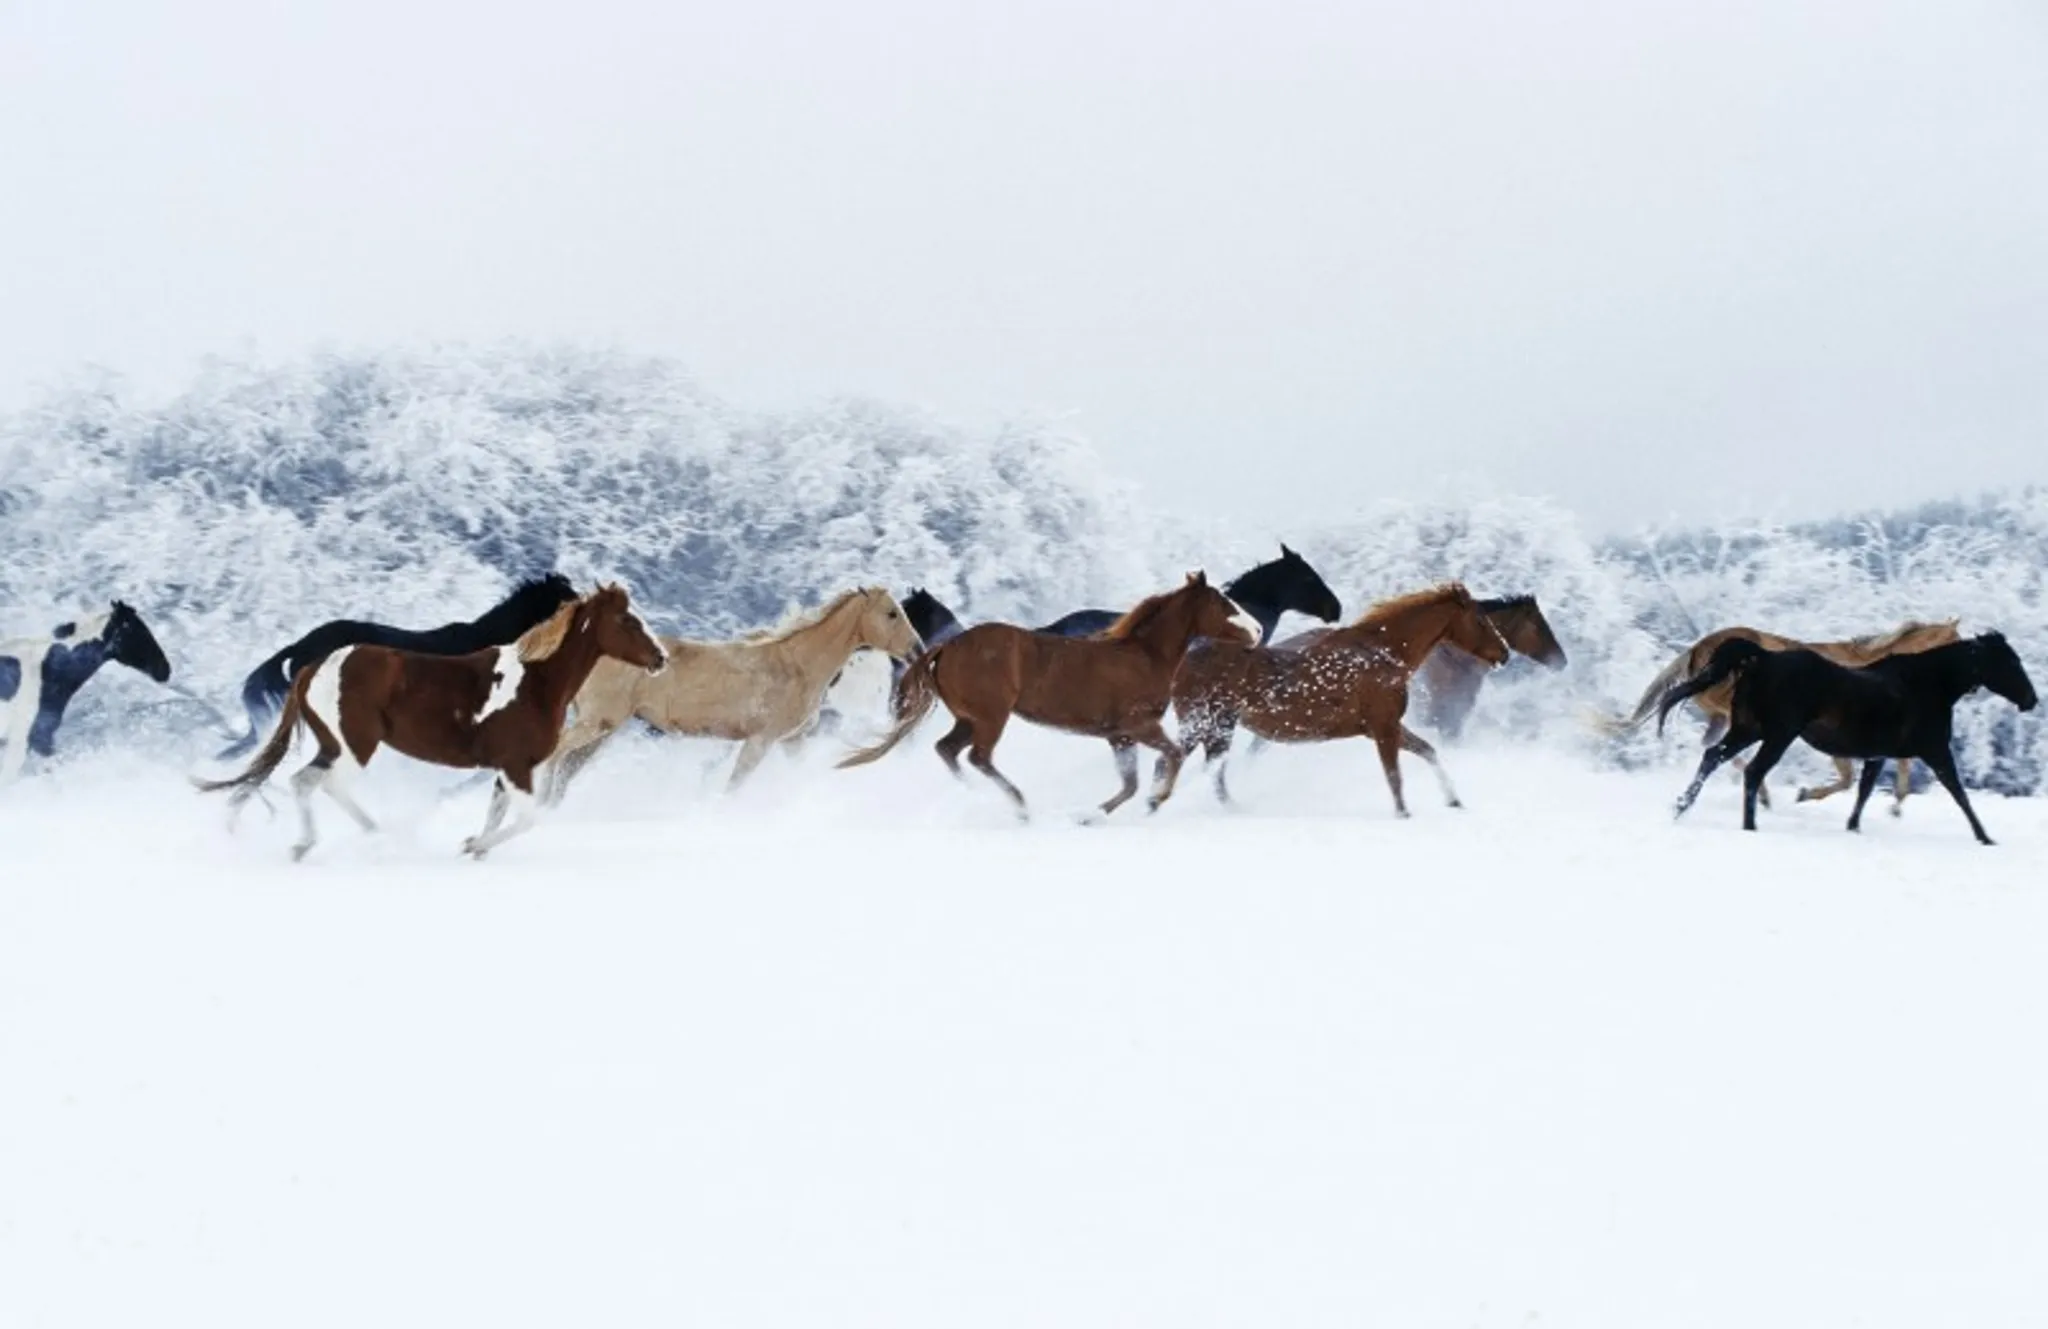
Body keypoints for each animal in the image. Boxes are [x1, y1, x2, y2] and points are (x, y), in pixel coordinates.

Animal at [540, 587, 923, 803]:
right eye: (891, 613)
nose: (917, 649)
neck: (797, 665)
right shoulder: (760, 741)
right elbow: (733, 786)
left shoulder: (793, 740)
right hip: (596, 723)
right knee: (555, 754)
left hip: (602, 731)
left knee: (564, 768)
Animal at [839, 573, 1260, 819]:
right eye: (1224, 604)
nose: (1256, 630)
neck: (1144, 655)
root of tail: (946, 646)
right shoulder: (1140, 726)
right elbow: (1170, 757)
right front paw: (1155, 800)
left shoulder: (1119, 736)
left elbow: (1130, 784)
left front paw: (1092, 815)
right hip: (991, 718)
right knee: (977, 757)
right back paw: (1019, 805)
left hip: (968, 719)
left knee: (948, 750)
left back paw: (977, 795)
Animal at [1172, 583, 1511, 816]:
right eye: (1480, 620)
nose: (1505, 653)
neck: (1384, 653)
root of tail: (1186, 658)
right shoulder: (1384, 728)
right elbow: (1394, 777)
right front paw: (1404, 814)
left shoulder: (1384, 727)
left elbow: (1429, 751)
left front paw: (1454, 800)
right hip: (1204, 726)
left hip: (1217, 729)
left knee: (1213, 774)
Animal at [1603, 619, 1961, 813]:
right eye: (1961, 643)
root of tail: (1698, 649)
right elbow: (1848, 779)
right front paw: (1805, 794)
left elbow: (1895, 766)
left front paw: (1897, 804)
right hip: (1731, 710)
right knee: (1723, 751)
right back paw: (1759, 794)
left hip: (1719, 716)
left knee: (1714, 750)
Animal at [1657, 633, 2037, 845]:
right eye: (2010, 662)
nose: (2031, 700)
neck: (1929, 685)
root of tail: (1761, 658)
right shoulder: (1936, 751)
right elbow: (1960, 794)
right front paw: (1985, 837)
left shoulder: (1877, 755)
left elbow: (1864, 792)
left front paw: (1852, 828)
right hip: (1776, 734)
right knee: (1751, 771)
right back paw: (1749, 826)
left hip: (1749, 729)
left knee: (1713, 757)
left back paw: (1681, 806)